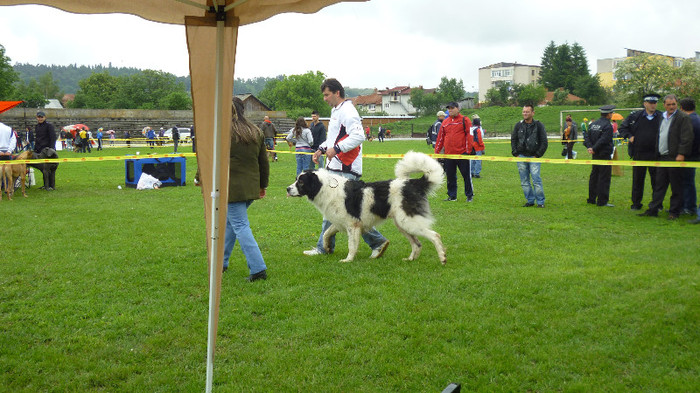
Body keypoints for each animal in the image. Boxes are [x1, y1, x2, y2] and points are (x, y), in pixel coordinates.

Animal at [286, 150, 446, 264]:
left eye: (301, 182)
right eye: (296, 180)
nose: (287, 189)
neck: (325, 187)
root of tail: (413, 183)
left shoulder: (353, 225)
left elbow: (351, 245)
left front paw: (348, 260)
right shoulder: (339, 222)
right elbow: (326, 234)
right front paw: (326, 247)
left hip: (409, 222)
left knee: (435, 236)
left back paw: (442, 258)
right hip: (403, 224)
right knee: (417, 243)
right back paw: (411, 259)